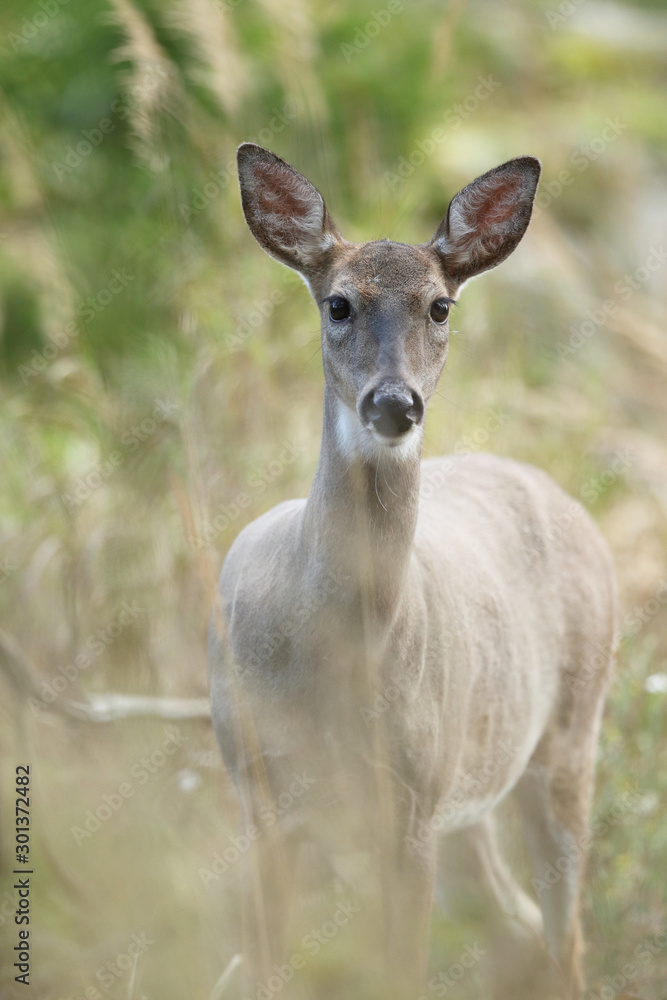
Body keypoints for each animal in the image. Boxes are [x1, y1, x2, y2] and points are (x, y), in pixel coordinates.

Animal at [207, 143, 616, 1000]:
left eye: (439, 308)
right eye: (337, 304)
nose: (393, 404)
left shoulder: (411, 807)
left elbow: (399, 971)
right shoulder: (255, 788)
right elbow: (267, 968)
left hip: (564, 739)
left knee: (564, 941)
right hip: (471, 800)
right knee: (517, 926)